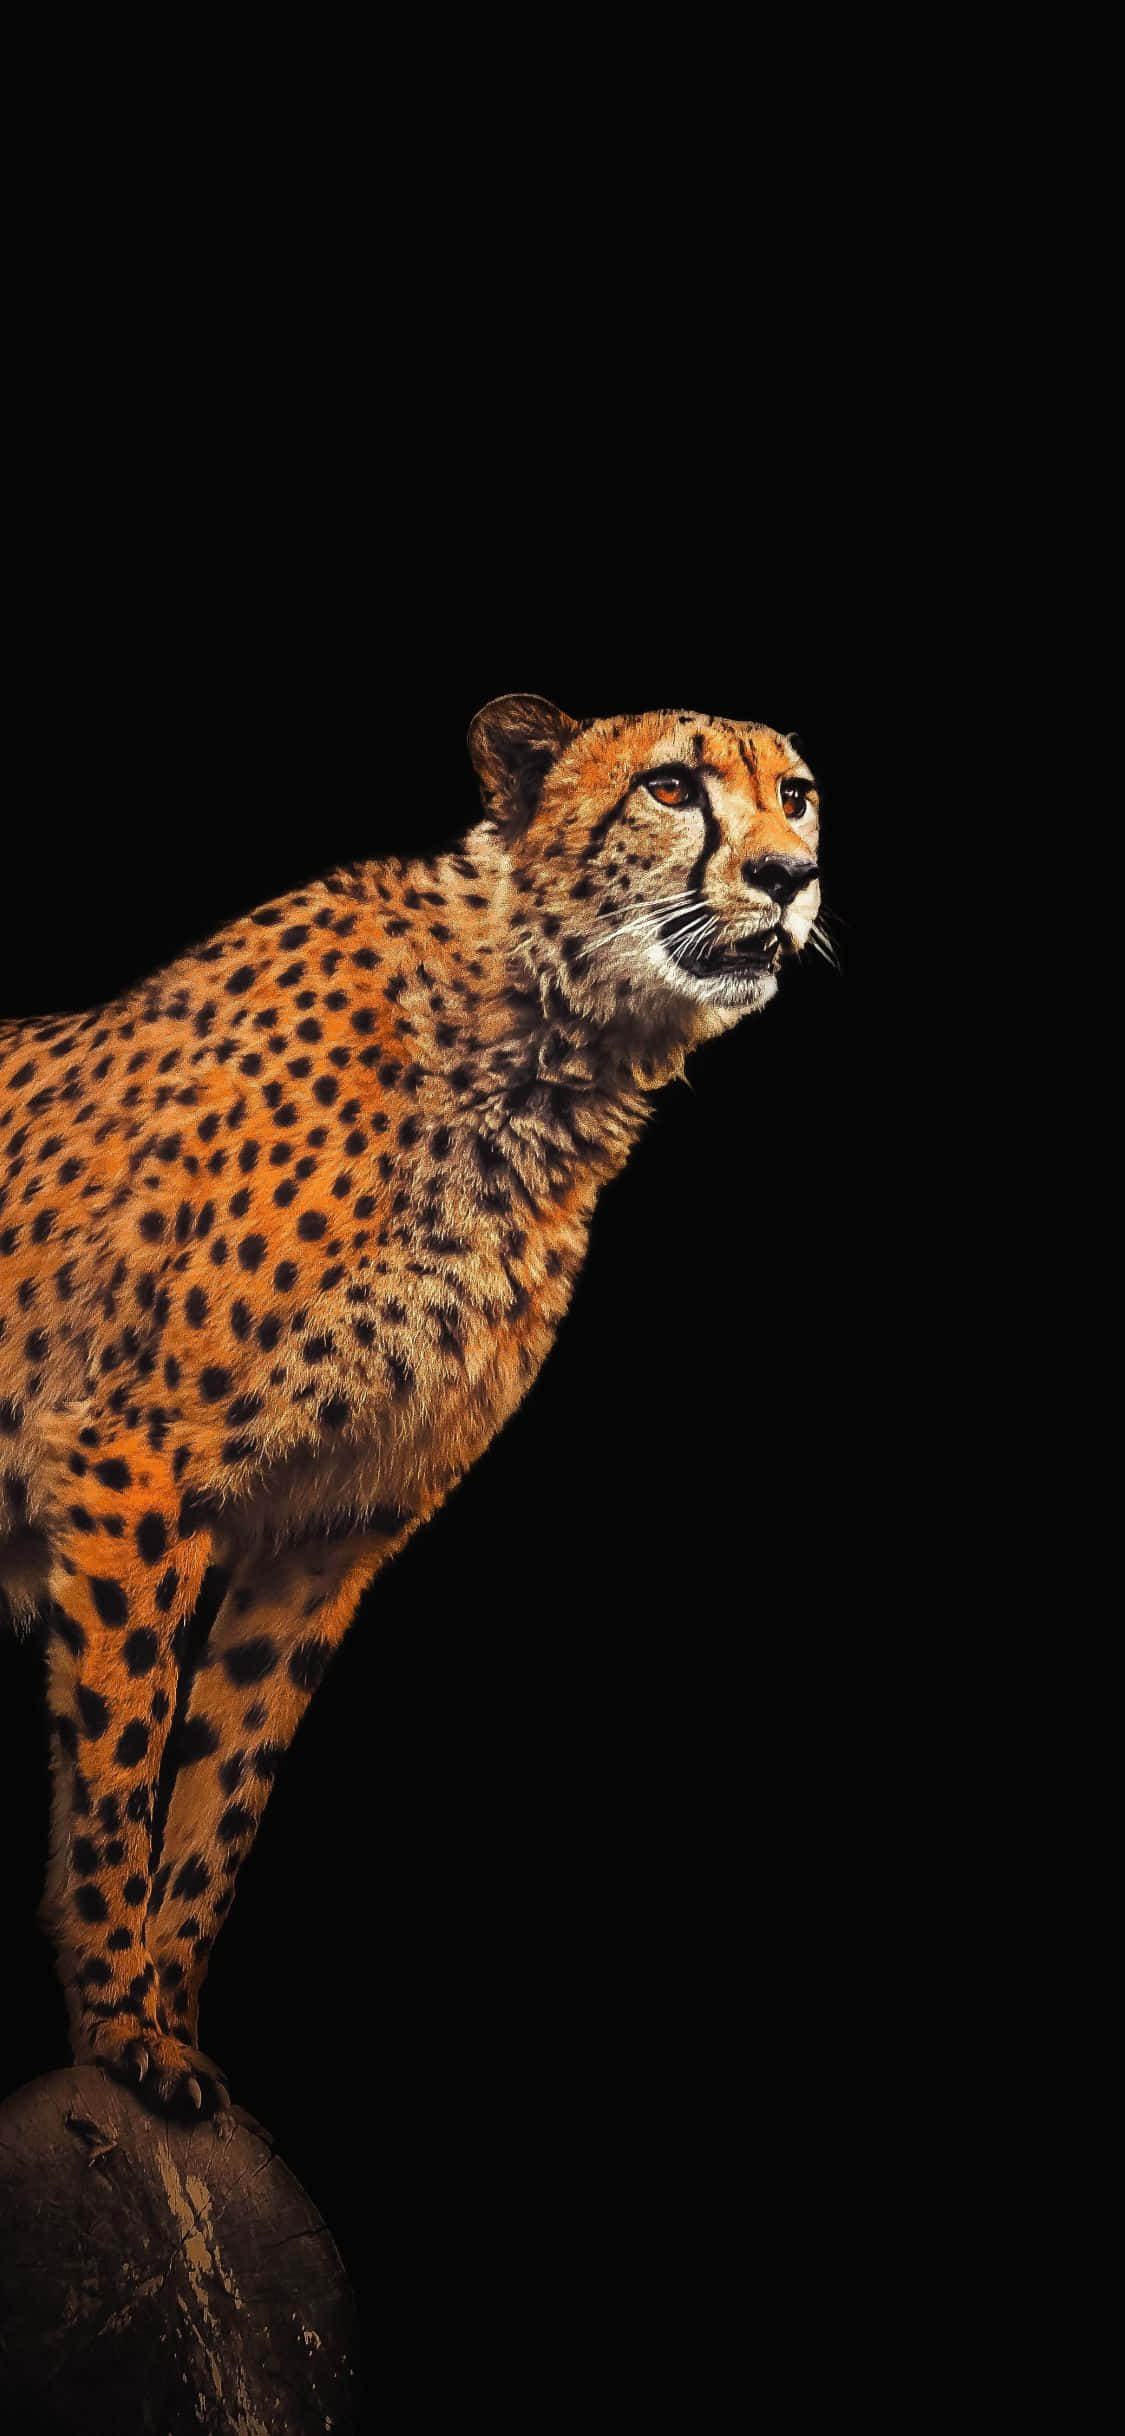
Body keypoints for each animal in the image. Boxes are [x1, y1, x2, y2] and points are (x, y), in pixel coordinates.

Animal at [0, 695, 821, 2116]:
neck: (542, 1049)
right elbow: (121, 1750)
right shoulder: (128, 1453)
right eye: (671, 786)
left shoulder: (337, 1525)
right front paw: (117, 2027)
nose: (786, 874)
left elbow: (224, 1789)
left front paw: (169, 2017)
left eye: (800, 795)